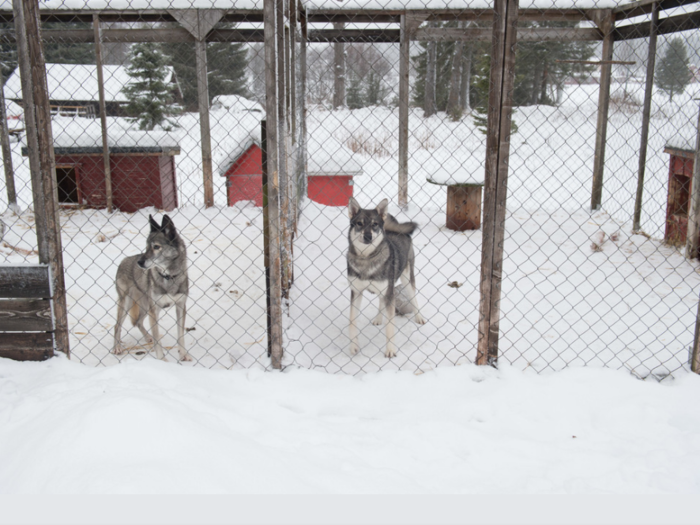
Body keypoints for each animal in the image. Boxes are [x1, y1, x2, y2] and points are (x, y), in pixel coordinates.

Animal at [112, 213, 190, 360]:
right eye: (147, 247)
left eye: (156, 247)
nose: (139, 262)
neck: (168, 277)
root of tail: (123, 260)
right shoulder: (155, 311)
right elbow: (158, 340)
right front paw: (162, 360)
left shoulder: (180, 306)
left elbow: (181, 335)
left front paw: (183, 355)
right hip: (126, 304)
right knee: (117, 326)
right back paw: (117, 347)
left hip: (144, 306)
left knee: (138, 322)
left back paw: (148, 337)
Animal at [346, 196, 424, 356]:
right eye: (359, 223)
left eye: (375, 224)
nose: (368, 236)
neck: (366, 259)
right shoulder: (356, 292)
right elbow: (352, 320)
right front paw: (354, 346)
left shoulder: (389, 294)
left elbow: (390, 327)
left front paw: (390, 351)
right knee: (381, 302)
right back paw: (378, 318)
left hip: (406, 278)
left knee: (413, 297)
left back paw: (419, 317)